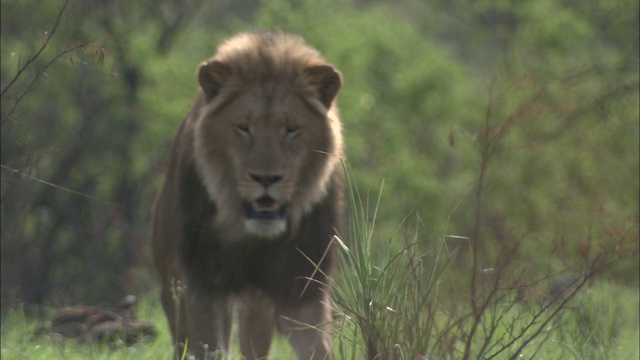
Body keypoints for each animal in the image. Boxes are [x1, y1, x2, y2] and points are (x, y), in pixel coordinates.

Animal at [151, 31, 344, 360]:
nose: (266, 179)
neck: (250, 235)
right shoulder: (202, 285)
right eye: (243, 128)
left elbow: (317, 348)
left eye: (291, 129)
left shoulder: (302, 288)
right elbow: (207, 346)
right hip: (172, 283)